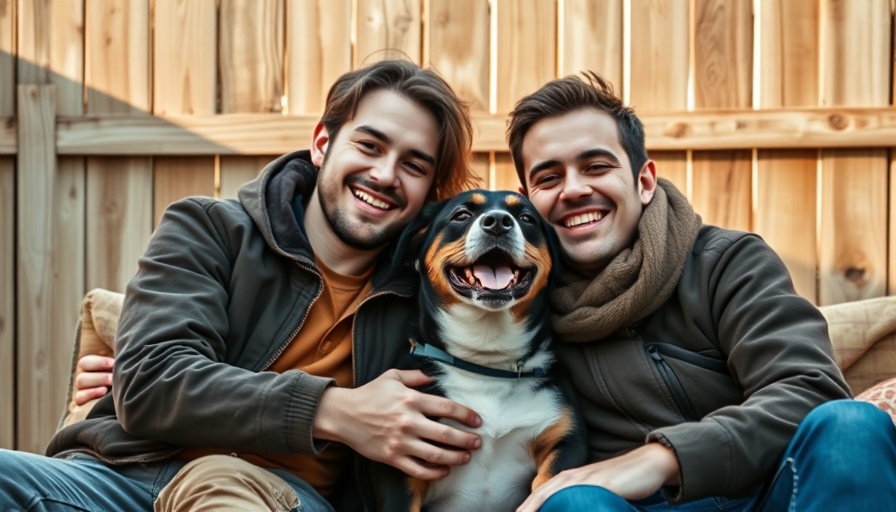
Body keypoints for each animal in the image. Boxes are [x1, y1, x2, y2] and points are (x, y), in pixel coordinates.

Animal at [384, 190, 588, 512]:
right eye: (461, 215)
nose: (498, 223)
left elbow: (550, 481)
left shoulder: (567, 441)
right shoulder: (404, 460)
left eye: (526, 217)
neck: (487, 363)